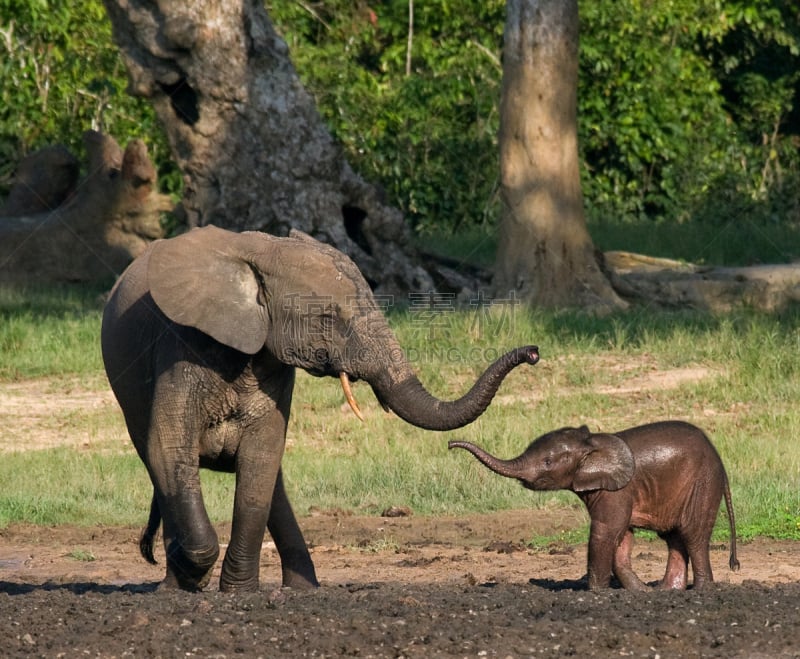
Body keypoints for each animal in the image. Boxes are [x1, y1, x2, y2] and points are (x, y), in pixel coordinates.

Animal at [100, 226, 536, 592]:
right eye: (327, 317)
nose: (533, 352)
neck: (257, 253)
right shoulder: (181, 346)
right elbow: (171, 448)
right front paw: (199, 579)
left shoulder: (271, 364)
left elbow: (261, 461)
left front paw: (240, 595)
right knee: (161, 465)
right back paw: (175, 588)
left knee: (270, 482)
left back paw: (303, 590)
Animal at [446, 422, 740, 592]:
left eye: (548, 462)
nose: (449, 444)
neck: (591, 444)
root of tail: (721, 462)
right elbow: (622, 539)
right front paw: (638, 592)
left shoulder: (617, 491)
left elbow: (606, 533)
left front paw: (597, 594)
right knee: (673, 537)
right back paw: (667, 591)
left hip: (703, 483)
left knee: (693, 534)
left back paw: (701, 591)